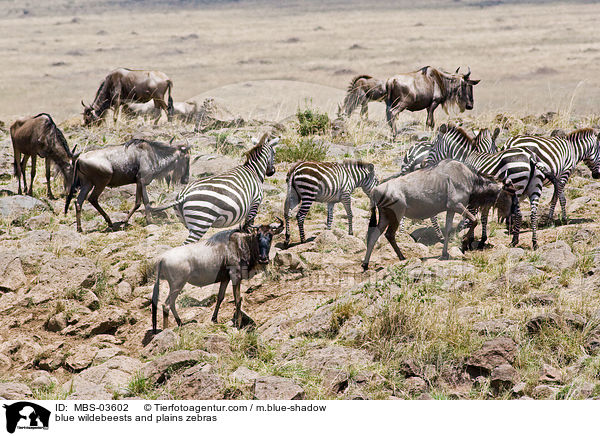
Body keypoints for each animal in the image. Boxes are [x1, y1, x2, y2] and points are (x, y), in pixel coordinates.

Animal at [424, 124, 556, 250]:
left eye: (432, 147)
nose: (426, 165)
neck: (465, 158)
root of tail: (530, 157)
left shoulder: (473, 193)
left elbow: (473, 215)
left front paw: (469, 241)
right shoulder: (484, 195)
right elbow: (483, 217)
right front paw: (482, 241)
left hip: (516, 187)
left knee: (518, 214)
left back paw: (514, 241)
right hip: (535, 188)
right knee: (533, 214)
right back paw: (534, 243)